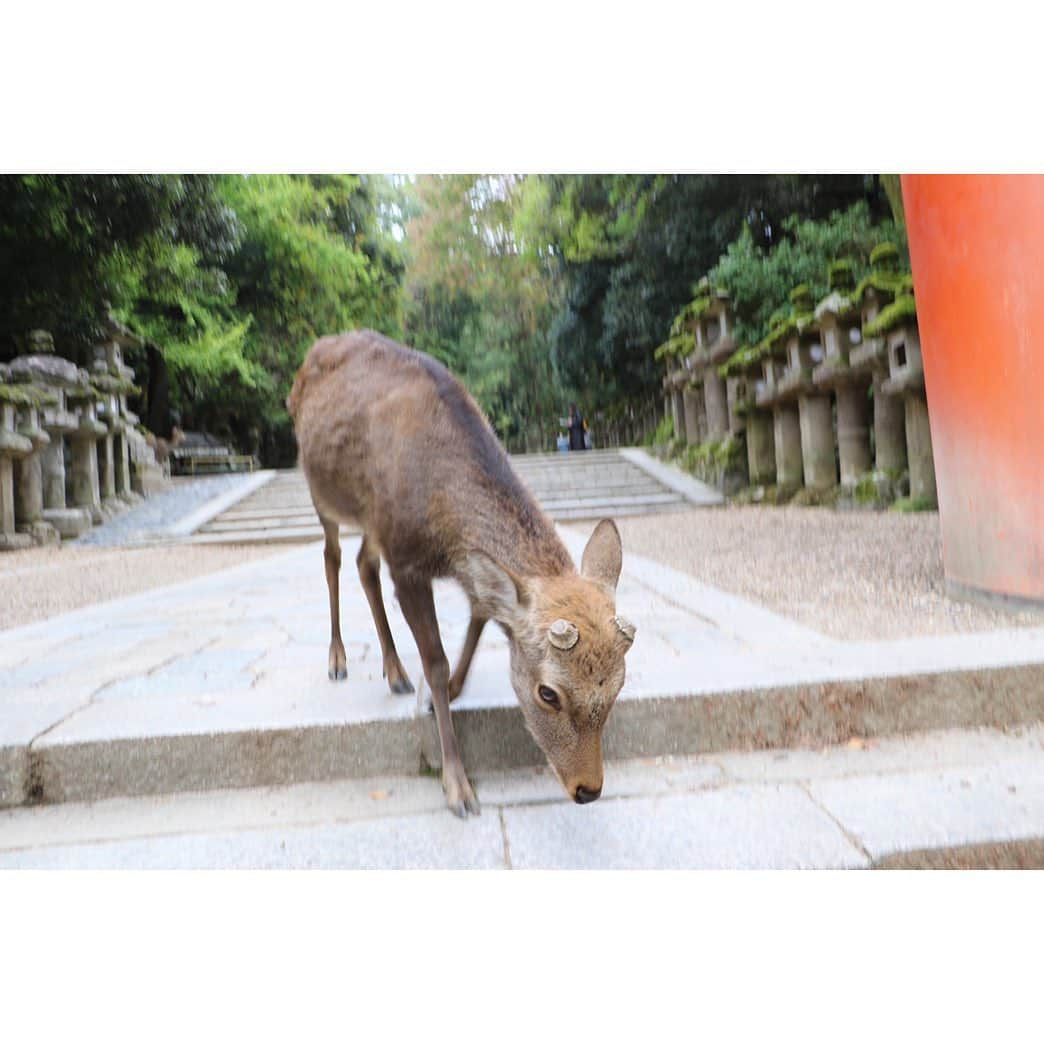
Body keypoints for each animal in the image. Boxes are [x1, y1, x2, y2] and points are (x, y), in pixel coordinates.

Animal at [290, 327, 638, 814]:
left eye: (619, 687)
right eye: (548, 693)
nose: (588, 789)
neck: (444, 530)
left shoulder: (446, 559)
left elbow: (481, 612)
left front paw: (454, 688)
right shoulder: (406, 562)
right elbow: (434, 662)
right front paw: (458, 786)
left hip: (373, 520)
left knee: (363, 563)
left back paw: (395, 672)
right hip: (322, 494)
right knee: (332, 557)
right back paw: (338, 659)